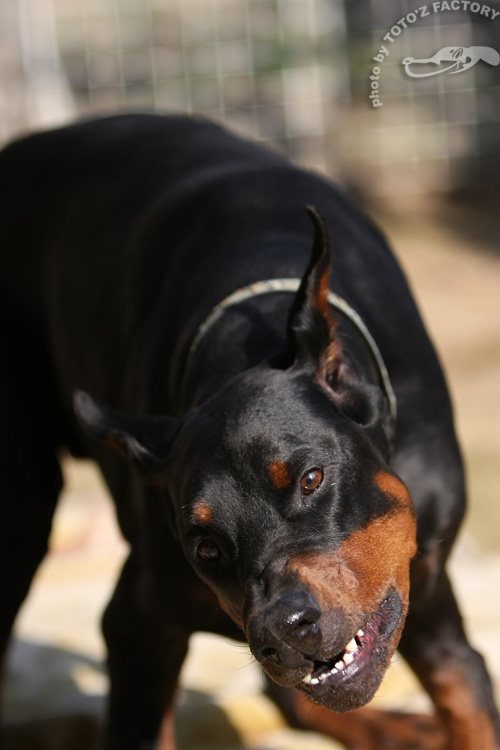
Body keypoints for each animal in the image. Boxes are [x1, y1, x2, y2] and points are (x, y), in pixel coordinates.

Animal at [0, 113, 498, 750]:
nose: (282, 632)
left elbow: (466, 686)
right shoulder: (137, 620)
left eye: (312, 478)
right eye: (206, 548)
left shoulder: (428, 582)